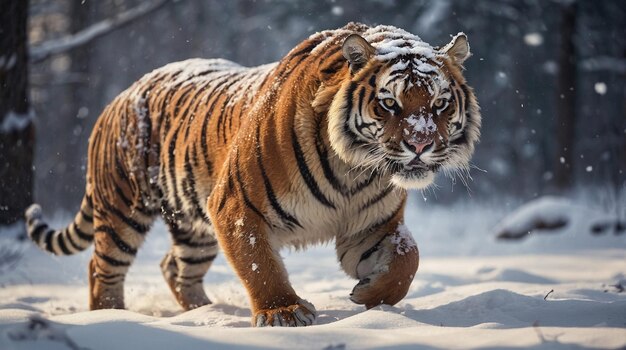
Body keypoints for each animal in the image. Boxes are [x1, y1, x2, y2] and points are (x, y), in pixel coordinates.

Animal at [24, 23, 480, 326]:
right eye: (389, 104)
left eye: (440, 104)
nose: (420, 144)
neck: (355, 171)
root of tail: (120, 95)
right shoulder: (237, 206)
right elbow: (260, 264)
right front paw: (284, 312)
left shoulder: (371, 224)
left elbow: (407, 259)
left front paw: (371, 293)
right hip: (123, 210)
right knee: (102, 269)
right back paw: (109, 320)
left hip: (194, 227)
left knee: (176, 267)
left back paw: (207, 312)